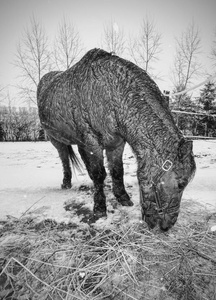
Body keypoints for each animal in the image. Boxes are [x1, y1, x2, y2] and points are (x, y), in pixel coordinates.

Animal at [37, 48, 196, 231]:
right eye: (181, 184)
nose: (167, 226)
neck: (110, 93)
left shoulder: (116, 143)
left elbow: (117, 171)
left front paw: (123, 197)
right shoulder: (93, 142)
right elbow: (99, 174)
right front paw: (99, 209)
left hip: (82, 142)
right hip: (56, 140)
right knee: (64, 159)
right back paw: (66, 183)